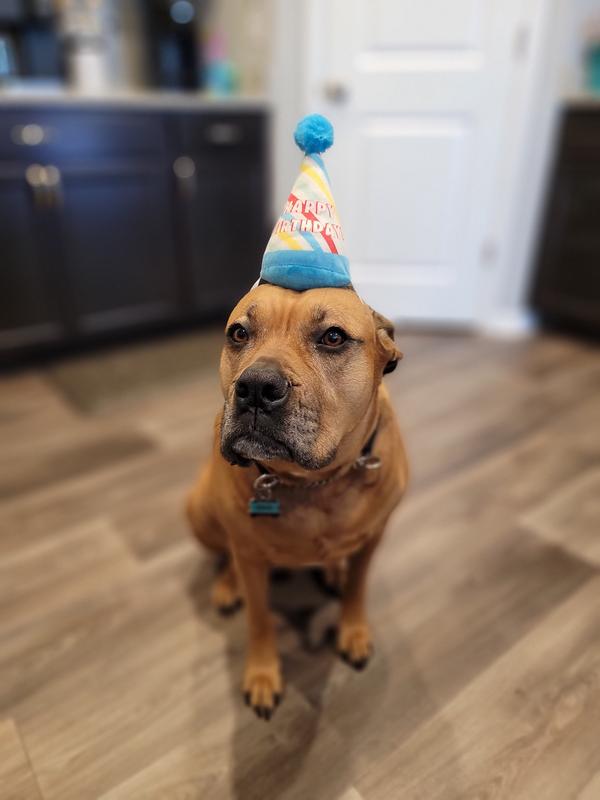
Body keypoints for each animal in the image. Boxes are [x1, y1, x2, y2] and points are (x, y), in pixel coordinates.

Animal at [186, 282, 408, 720]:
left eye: (333, 337)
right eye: (239, 333)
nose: (256, 387)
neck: (314, 483)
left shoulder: (373, 538)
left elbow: (358, 586)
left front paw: (353, 630)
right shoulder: (252, 558)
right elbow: (259, 619)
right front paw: (262, 674)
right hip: (199, 511)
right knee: (226, 553)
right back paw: (228, 585)